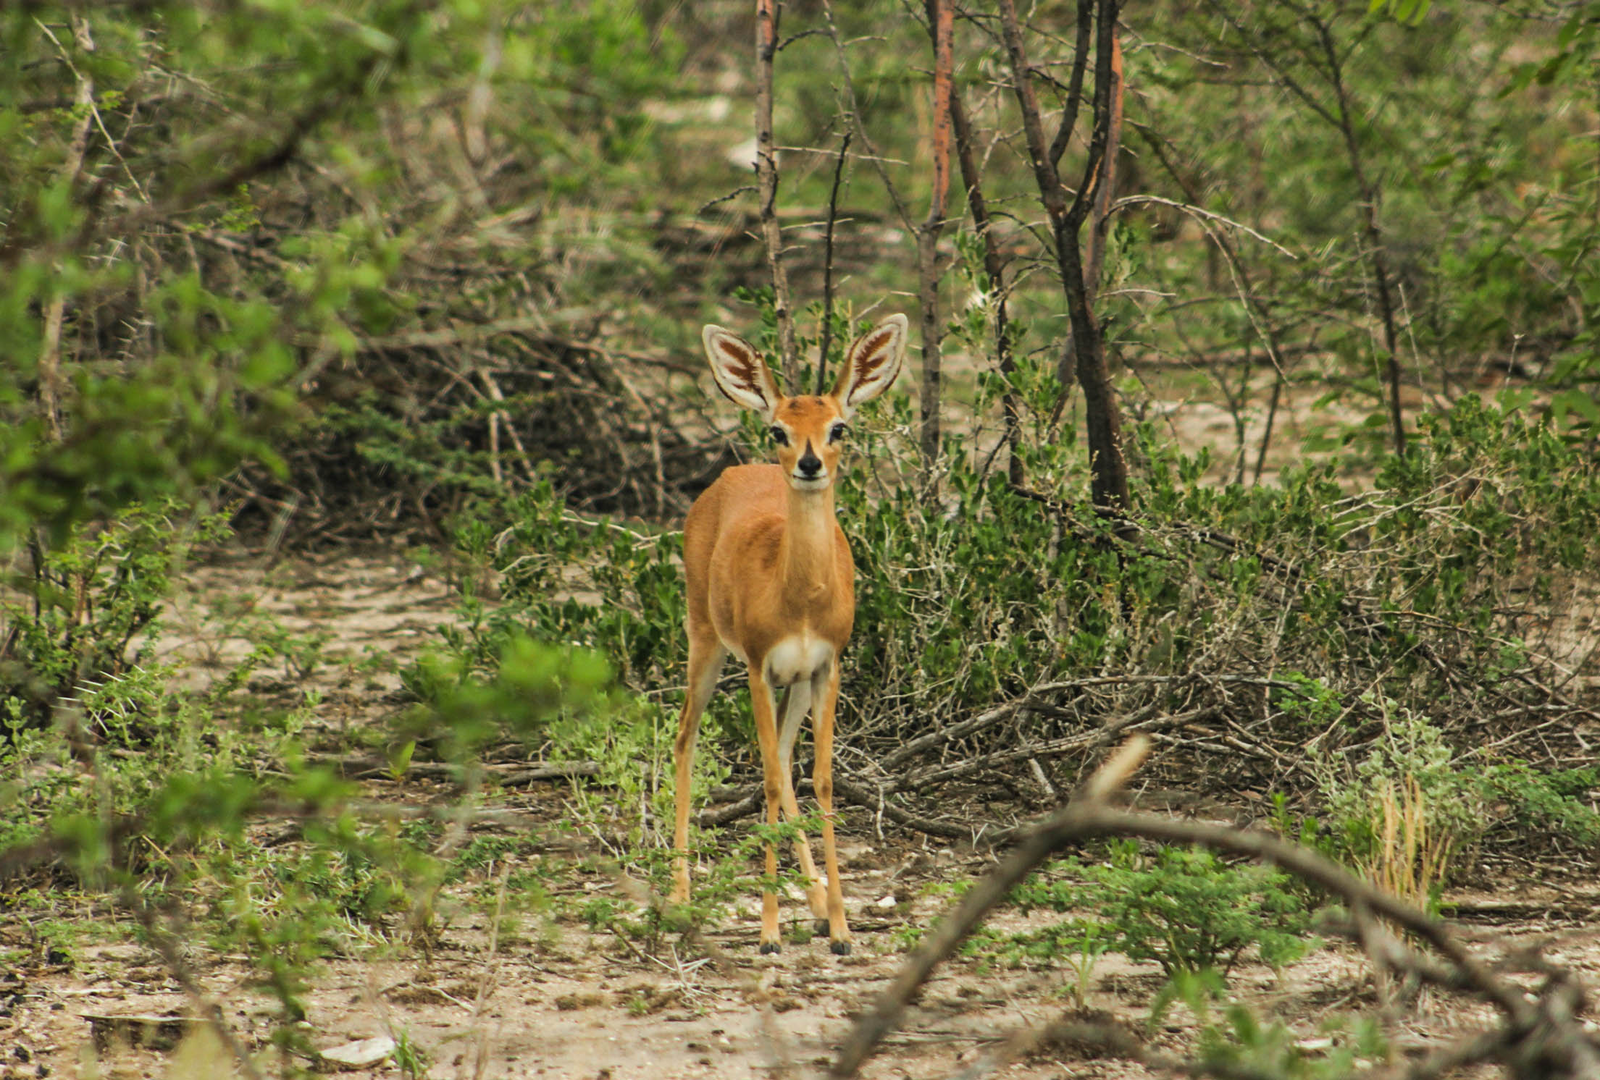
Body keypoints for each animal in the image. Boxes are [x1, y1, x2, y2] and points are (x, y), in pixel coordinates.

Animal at [668, 312, 908, 953]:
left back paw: (819, 903)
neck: (799, 599)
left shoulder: (826, 667)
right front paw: (770, 932)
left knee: (779, 754)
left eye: (838, 426)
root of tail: (728, 474)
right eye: (778, 428)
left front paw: (843, 928)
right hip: (705, 642)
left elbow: (820, 781)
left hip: (795, 684)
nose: (809, 462)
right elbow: (772, 783)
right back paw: (677, 895)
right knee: (687, 738)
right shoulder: (757, 667)